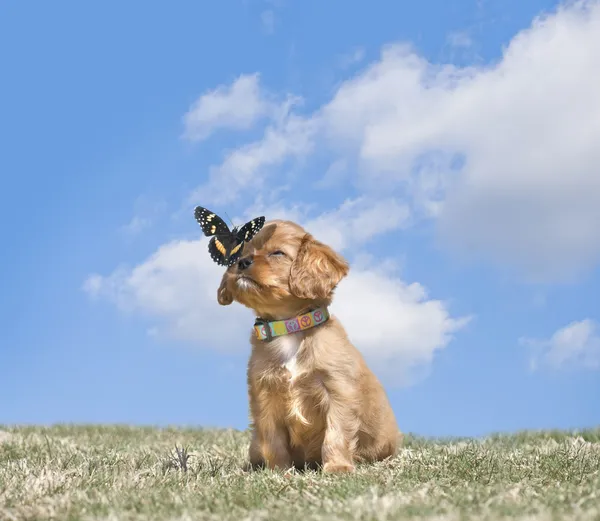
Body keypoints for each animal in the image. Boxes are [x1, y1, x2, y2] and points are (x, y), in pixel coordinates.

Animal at [216, 219, 398, 472]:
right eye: (243, 254)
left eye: (277, 253)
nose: (242, 263)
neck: (289, 329)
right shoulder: (264, 396)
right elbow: (273, 440)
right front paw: (280, 471)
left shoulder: (338, 390)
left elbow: (336, 433)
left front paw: (337, 467)